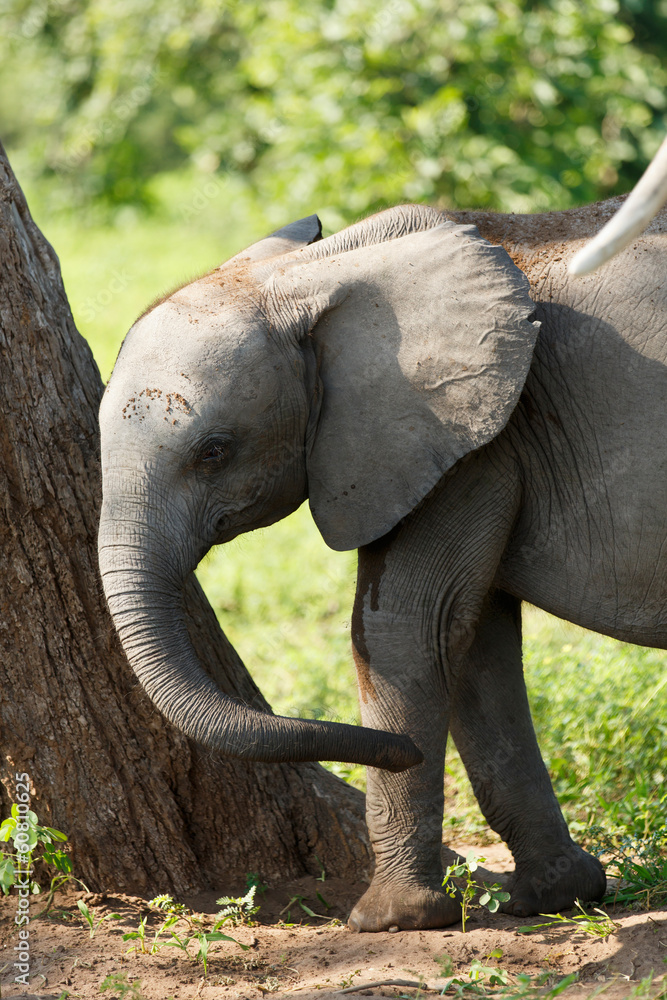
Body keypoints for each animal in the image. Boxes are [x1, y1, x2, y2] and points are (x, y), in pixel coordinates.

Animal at [98, 188, 667, 932]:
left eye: (214, 452)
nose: (404, 753)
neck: (319, 273)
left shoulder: (470, 437)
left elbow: (404, 629)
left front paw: (389, 920)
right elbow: (473, 641)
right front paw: (553, 897)